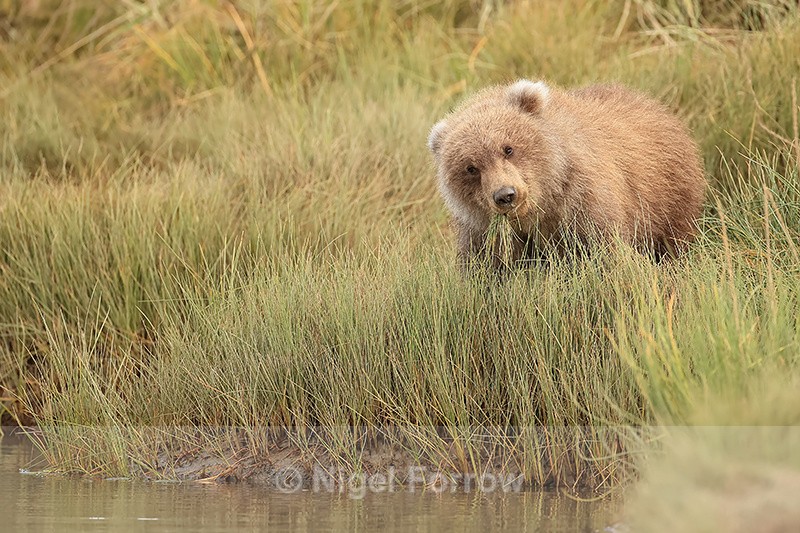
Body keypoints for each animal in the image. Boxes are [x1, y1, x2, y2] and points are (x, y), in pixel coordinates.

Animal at [427, 80, 706, 267]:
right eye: (471, 167)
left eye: (508, 148)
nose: (506, 195)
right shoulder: (485, 235)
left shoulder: (582, 205)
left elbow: (608, 254)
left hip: (668, 197)